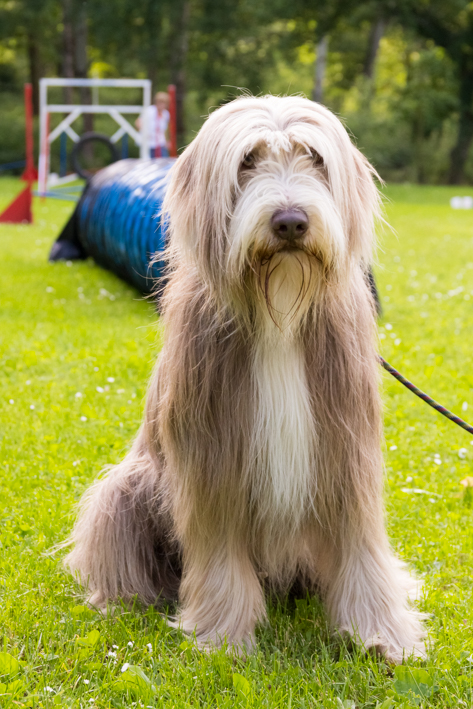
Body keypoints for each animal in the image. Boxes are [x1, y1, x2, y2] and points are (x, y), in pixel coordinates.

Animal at [65, 95, 424, 664]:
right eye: (247, 161)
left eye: (314, 158)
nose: (291, 222)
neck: (278, 308)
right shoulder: (214, 459)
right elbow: (220, 556)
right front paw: (223, 638)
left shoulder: (346, 451)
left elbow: (361, 548)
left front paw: (383, 636)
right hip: (127, 489)